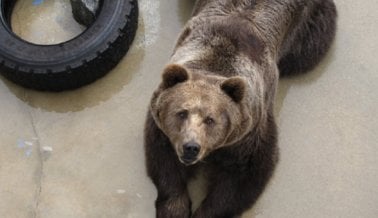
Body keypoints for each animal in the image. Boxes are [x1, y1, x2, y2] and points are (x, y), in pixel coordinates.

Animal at [145, 0, 336, 217]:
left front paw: (205, 211)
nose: (191, 147)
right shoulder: (163, 128)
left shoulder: (249, 135)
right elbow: (165, 162)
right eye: (181, 113)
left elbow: (241, 179)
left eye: (210, 119)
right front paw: (174, 208)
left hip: (308, 25)